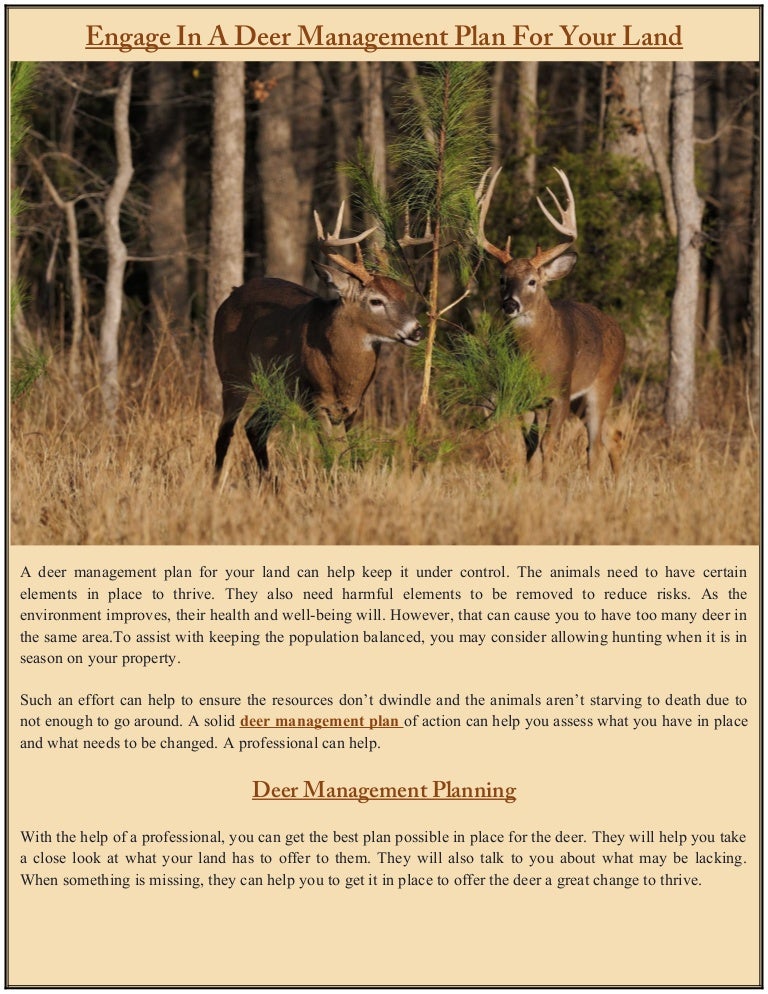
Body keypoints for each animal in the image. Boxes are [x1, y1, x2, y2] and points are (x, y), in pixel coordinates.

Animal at [213, 204, 424, 481]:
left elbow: (346, 454)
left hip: (277, 388)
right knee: (225, 433)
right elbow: (332, 454)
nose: (417, 330)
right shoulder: (317, 401)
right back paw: (215, 485)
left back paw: (270, 484)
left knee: (255, 428)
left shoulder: (352, 408)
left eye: (403, 295)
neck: (341, 373)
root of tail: (230, 297)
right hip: (232, 374)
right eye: (376, 300)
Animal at [476, 166, 626, 476]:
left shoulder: (560, 393)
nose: (510, 304)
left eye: (533, 281)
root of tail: (621, 332)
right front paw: (528, 480)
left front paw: (547, 482)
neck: (537, 357)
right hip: (580, 400)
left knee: (595, 445)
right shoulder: (525, 397)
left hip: (602, 383)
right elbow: (530, 445)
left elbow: (548, 444)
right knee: (613, 436)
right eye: (502, 279)